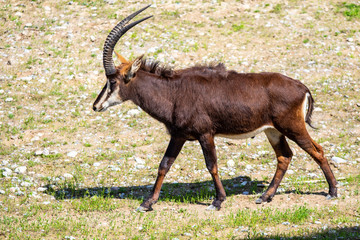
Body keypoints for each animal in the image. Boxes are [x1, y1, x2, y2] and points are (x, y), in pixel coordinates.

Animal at [92, 5, 338, 212]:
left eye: (112, 81)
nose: (96, 106)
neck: (173, 92)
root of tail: (301, 86)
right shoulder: (179, 135)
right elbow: (164, 165)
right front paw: (147, 203)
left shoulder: (205, 134)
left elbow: (212, 165)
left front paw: (218, 201)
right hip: (273, 131)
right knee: (284, 156)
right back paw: (265, 196)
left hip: (292, 127)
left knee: (317, 151)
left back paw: (332, 191)